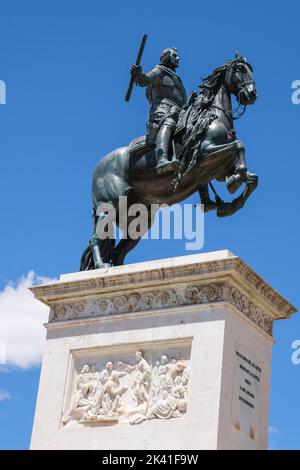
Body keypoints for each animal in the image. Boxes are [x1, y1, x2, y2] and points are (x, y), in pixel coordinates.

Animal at [81, 53, 258, 270]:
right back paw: (101, 266)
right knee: (95, 238)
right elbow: (239, 146)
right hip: (109, 206)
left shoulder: (218, 170)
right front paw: (234, 183)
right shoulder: (202, 157)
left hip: (139, 218)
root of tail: (99, 167)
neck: (212, 117)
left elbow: (252, 178)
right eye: (240, 69)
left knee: (118, 251)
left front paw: (232, 201)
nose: (251, 94)